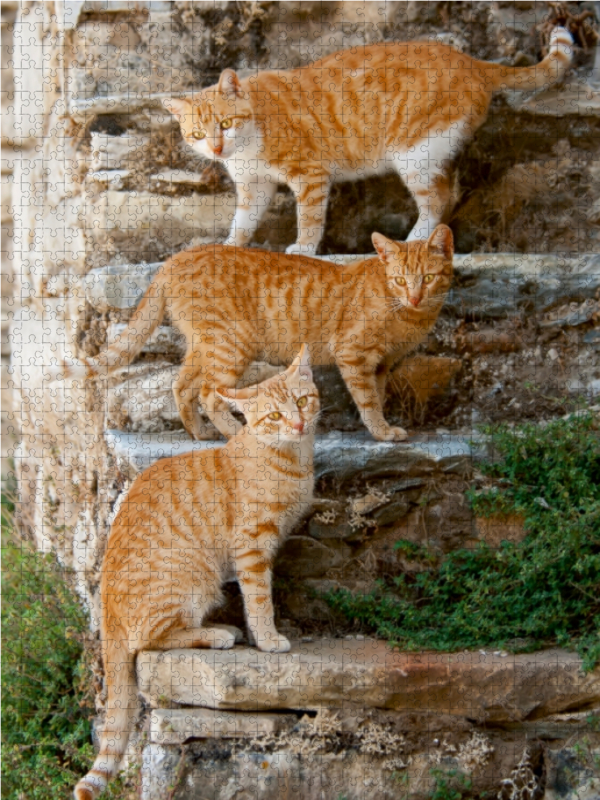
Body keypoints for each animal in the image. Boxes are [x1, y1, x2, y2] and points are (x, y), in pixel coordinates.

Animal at [163, 28, 572, 253]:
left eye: (226, 123)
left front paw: (304, 247)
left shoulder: (310, 176)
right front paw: (229, 246)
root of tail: (472, 62)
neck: (248, 145)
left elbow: (309, 218)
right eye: (198, 135)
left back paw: (413, 241)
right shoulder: (254, 187)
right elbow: (242, 222)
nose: (217, 148)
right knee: (450, 192)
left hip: (413, 153)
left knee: (439, 199)